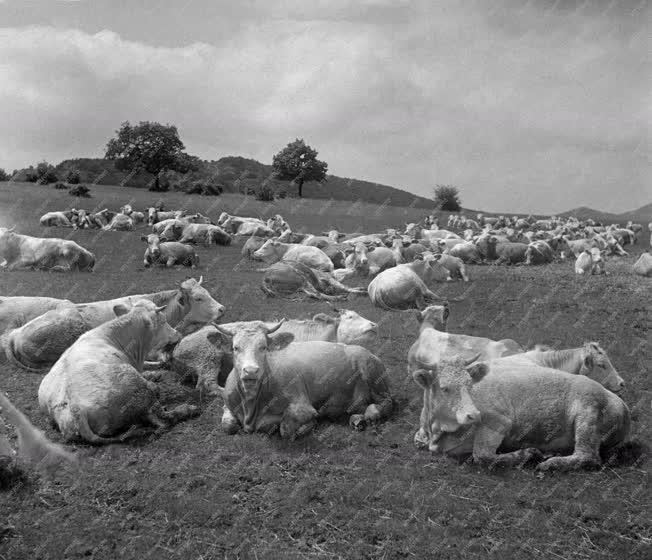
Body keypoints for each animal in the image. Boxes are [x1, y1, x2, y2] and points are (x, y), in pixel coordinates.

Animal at [216, 320, 394, 438]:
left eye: (263, 347)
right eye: (235, 348)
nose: (251, 371)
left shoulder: (302, 404)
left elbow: (286, 429)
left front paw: (308, 426)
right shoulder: (227, 403)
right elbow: (227, 426)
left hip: (372, 373)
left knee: (387, 402)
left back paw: (370, 413)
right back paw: (357, 419)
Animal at [418, 356, 632, 470]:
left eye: (470, 384)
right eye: (444, 388)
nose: (474, 415)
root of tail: (621, 403)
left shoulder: (499, 420)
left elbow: (482, 455)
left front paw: (527, 454)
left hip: (587, 416)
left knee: (587, 456)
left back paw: (550, 464)